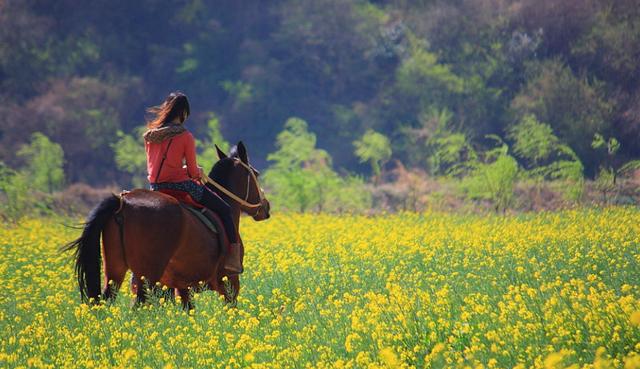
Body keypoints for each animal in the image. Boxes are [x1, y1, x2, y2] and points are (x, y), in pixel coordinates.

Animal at [62, 141, 268, 308]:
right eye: (256, 174)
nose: (266, 207)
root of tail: (123, 202)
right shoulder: (229, 282)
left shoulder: (182, 287)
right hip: (147, 275)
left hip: (115, 270)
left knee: (108, 299)